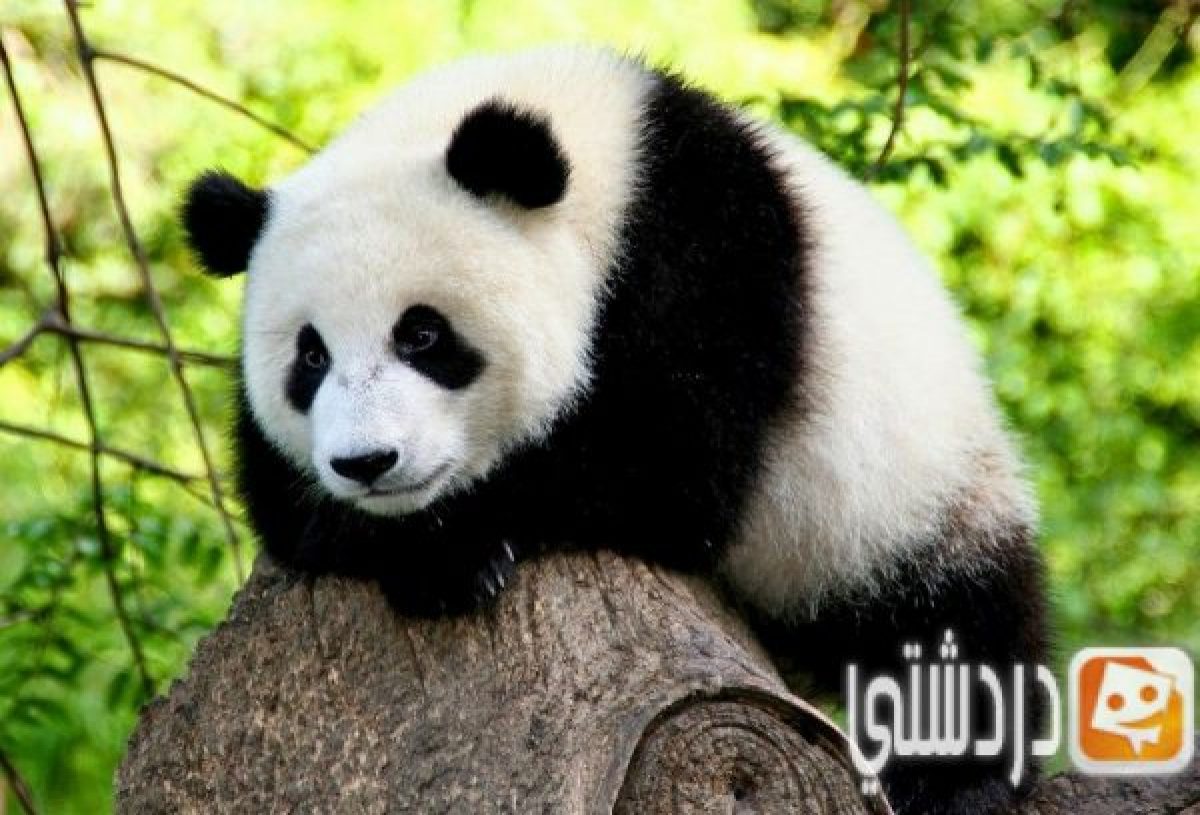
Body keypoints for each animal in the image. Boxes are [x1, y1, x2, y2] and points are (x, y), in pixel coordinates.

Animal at [182, 46, 1049, 815]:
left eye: (422, 334)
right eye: (311, 356)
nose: (367, 461)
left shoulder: (712, 262)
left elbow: (669, 463)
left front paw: (456, 546)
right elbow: (282, 501)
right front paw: (407, 543)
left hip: (908, 486)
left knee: (950, 618)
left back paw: (951, 774)